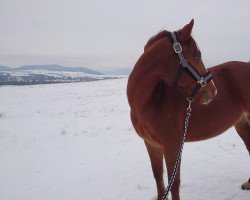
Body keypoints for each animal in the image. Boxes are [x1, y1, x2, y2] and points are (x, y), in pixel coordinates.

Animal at [127, 19, 250, 200]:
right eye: (197, 55)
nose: (213, 91)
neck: (149, 104)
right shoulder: (151, 145)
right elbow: (158, 176)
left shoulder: (172, 146)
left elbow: (174, 183)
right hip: (241, 123)